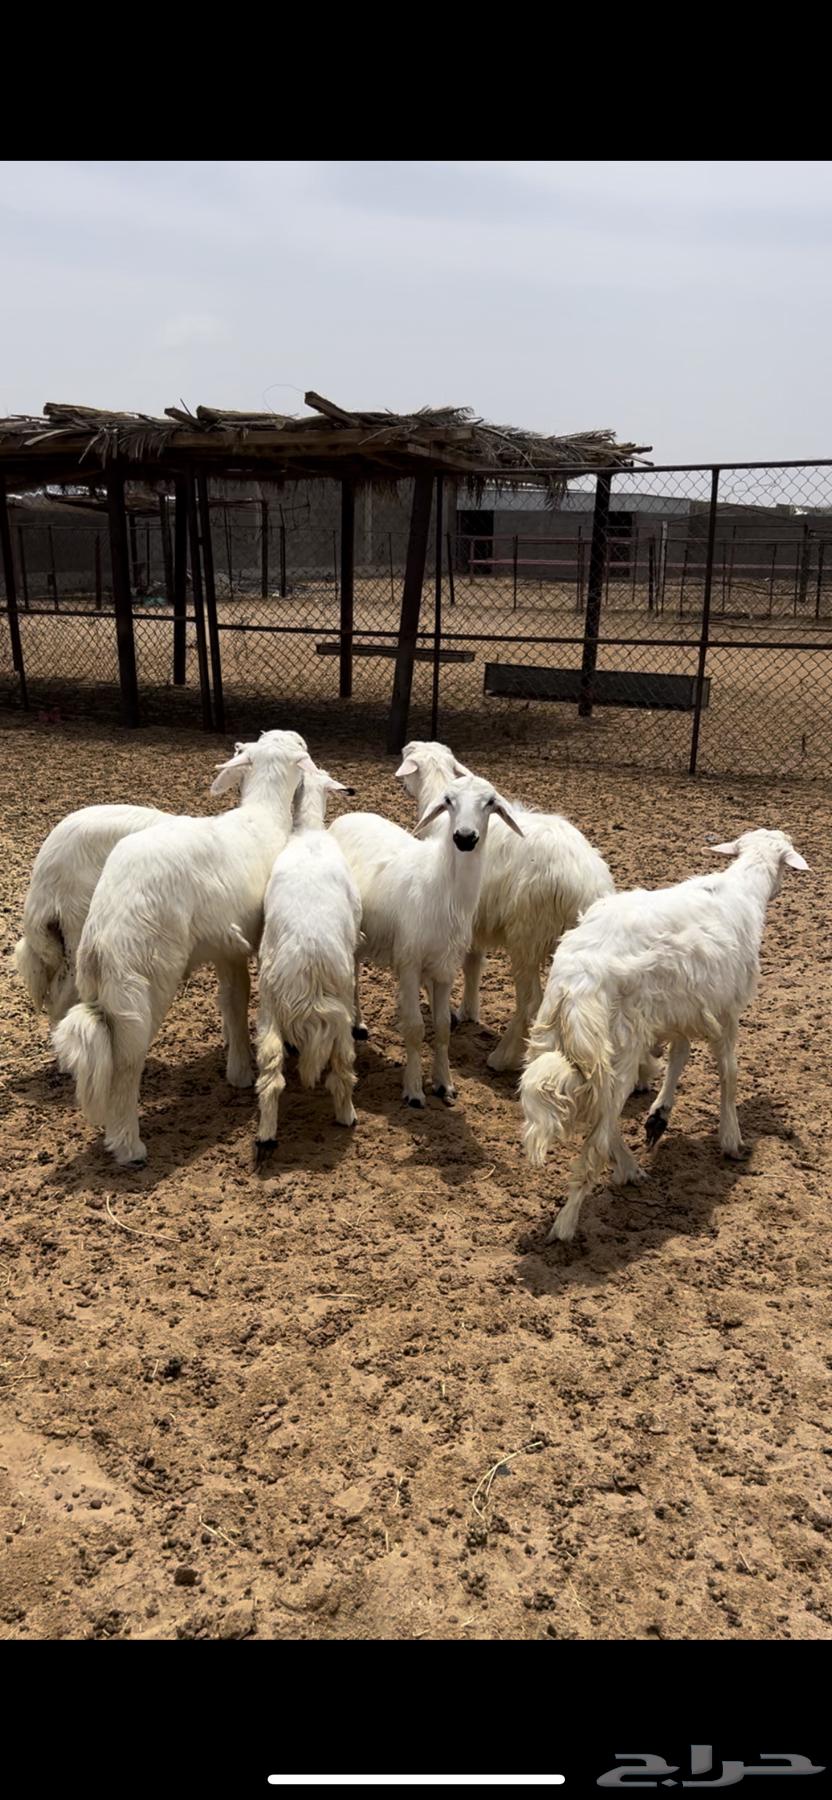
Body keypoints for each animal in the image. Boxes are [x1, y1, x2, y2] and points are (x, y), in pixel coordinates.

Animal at [52, 730, 316, 1166]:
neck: (263, 815)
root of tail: (105, 928)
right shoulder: (250, 939)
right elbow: (245, 998)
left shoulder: (227, 945)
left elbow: (232, 1000)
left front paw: (237, 1066)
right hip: (143, 980)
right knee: (125, 1065)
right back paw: (128, 1146)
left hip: (101, 980)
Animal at [255, 765, 361, 1155]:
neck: (310, 832)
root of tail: (309, 967)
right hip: (338, 1013)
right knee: (343, 1069)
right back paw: (347, 1116)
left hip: (269, 1009)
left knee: (271, 1075)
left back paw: (266, 1136)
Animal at [330, 773, 524, 1108]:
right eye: (448, 801)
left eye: (490, 803)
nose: (464, 837)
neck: (442, 885)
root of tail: (348, 816)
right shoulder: (409, 963)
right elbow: (415, 1028)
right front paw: (414, 1090)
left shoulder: (446, 968)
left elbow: (443, 1028)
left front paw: (444, 1084)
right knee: (351, 973)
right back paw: (356, 1023)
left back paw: (358, 1023)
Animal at [395, 741, 659, 1087]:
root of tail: (586, 883)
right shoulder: (474, 920)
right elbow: (473, 963)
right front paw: (468, 1010)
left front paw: (448, 1011)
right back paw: (642, 1074)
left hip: (527, 936)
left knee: (531, 1000)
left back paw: (503, 1057)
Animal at [519, 829, 809, 1242]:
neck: (743, 890)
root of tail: (577, 983)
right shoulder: (726, 1012)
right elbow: (730, 1073)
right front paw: (731, 1138)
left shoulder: (680, 1008)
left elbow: (679, 1057)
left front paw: (660, 1113)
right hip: (618, 1049)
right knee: (596, 1140)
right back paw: (567, 1223)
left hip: (554, 1041)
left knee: (603, 1122)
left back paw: (629, 1169)